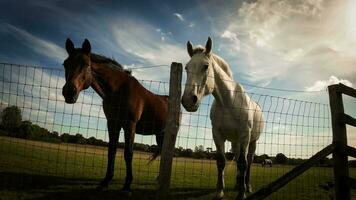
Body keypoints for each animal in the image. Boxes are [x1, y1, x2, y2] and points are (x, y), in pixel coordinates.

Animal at [62, 38, 168, 193]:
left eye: (86, 64)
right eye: (65, 64)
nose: (69, 93)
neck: (118, 90)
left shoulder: (129, 125)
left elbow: (128, 153)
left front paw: (127, 185)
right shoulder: (112, 123)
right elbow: (111, 150)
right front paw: (105, 181)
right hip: (159, 134)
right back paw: (160, 178)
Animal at [182, 37, 262, 200]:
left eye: (206, 66)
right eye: (186, 68)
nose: (188, 100)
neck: (228, 102)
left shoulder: (245, 135)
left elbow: (243, 163)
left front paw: (242, 194)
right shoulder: (218, 135)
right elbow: (221, 161)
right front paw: (220, 191)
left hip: (252, 141)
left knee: (249, 161)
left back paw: (247, 186)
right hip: (235, 142)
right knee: (237, 158)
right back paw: (238, 184)